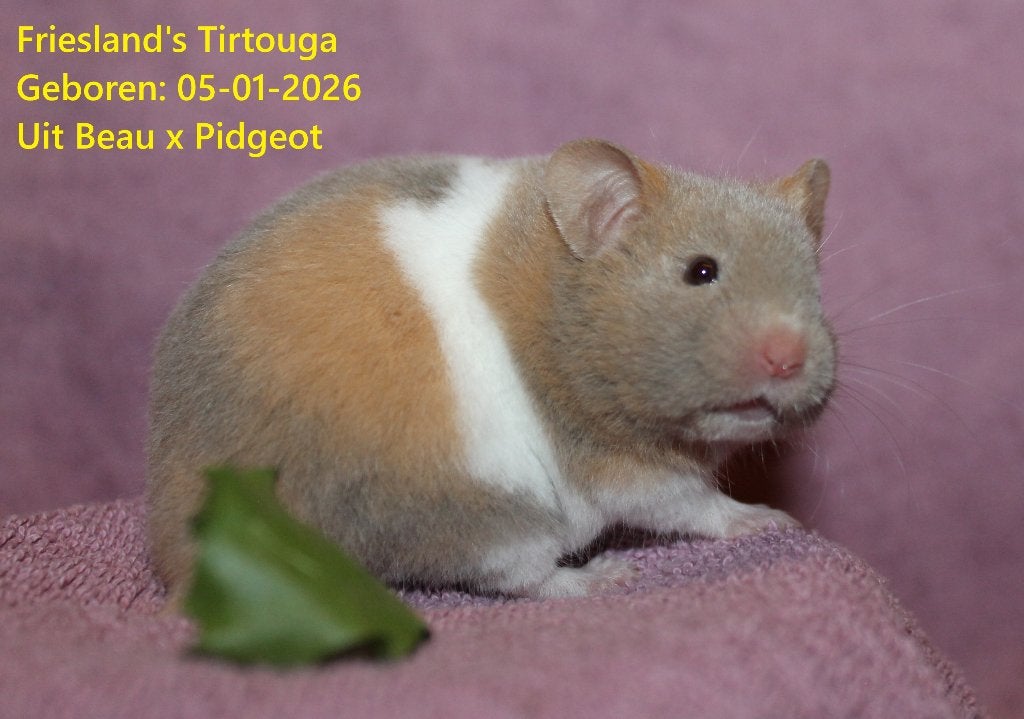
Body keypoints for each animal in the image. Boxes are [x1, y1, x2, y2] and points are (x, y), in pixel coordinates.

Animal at [146, 138, 836, 601]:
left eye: (814, 285)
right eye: (701, 271)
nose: (789, 358)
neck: (555, 315)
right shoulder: (612, 466)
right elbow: (691, 504)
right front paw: (771, 520)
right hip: (490, 515)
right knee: (526, 578)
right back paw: (606, 576)